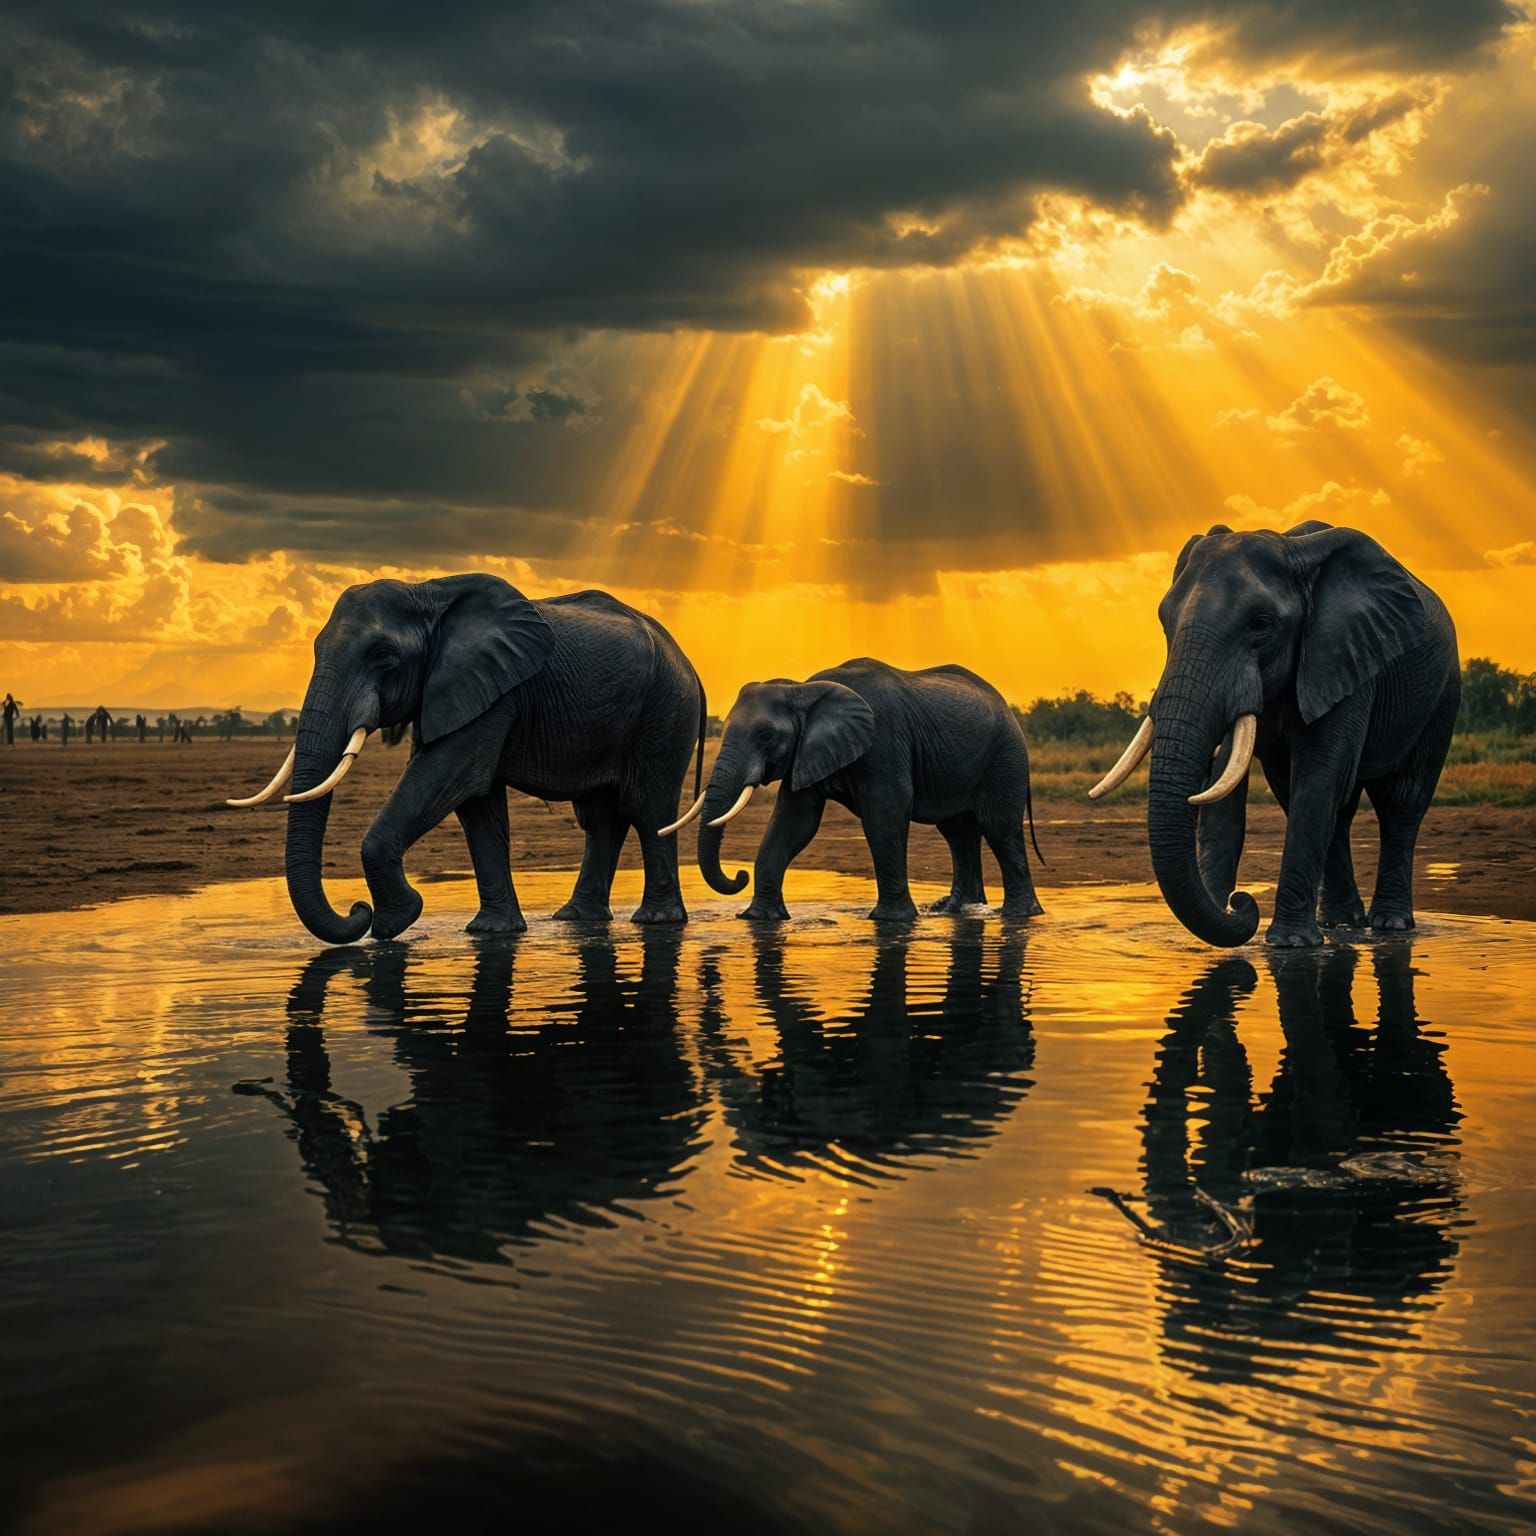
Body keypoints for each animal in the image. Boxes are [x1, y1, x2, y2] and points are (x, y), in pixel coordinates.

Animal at [227, 575, 705, 942]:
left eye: (383, 656)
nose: (357, 911)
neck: (426, 594)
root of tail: (687, 661)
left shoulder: (495, 690)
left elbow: (448, 775)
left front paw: (395, 922)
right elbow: (477, 804)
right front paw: (492, 932)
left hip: (665, 708)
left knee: (647, 807)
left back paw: (656, 921)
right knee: (601, 816)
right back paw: (576, 918)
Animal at [667, 658, 1045, 922]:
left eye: (765, 736)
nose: (739, 875)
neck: (804, 690)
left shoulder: (884, 741)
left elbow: (885, 813)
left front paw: (891, 921)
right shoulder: (806, 752)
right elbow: (793, 822)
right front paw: (759, 918)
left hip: (1005, 756)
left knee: (999, 827)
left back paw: (1018, 915)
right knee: (957, 832)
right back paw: (952, 909)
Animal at [1090, 522, 1459, 947]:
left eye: (1261, 624)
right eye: (1165, 621)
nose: (1239, 900)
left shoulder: (1341, 656)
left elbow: (1317, 776)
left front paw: (1290, 944)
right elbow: (1238, 782)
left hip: (1442, 693)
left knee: (1401, 800)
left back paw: (1391, 924)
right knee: (1339, 808)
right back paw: (1341, 923)